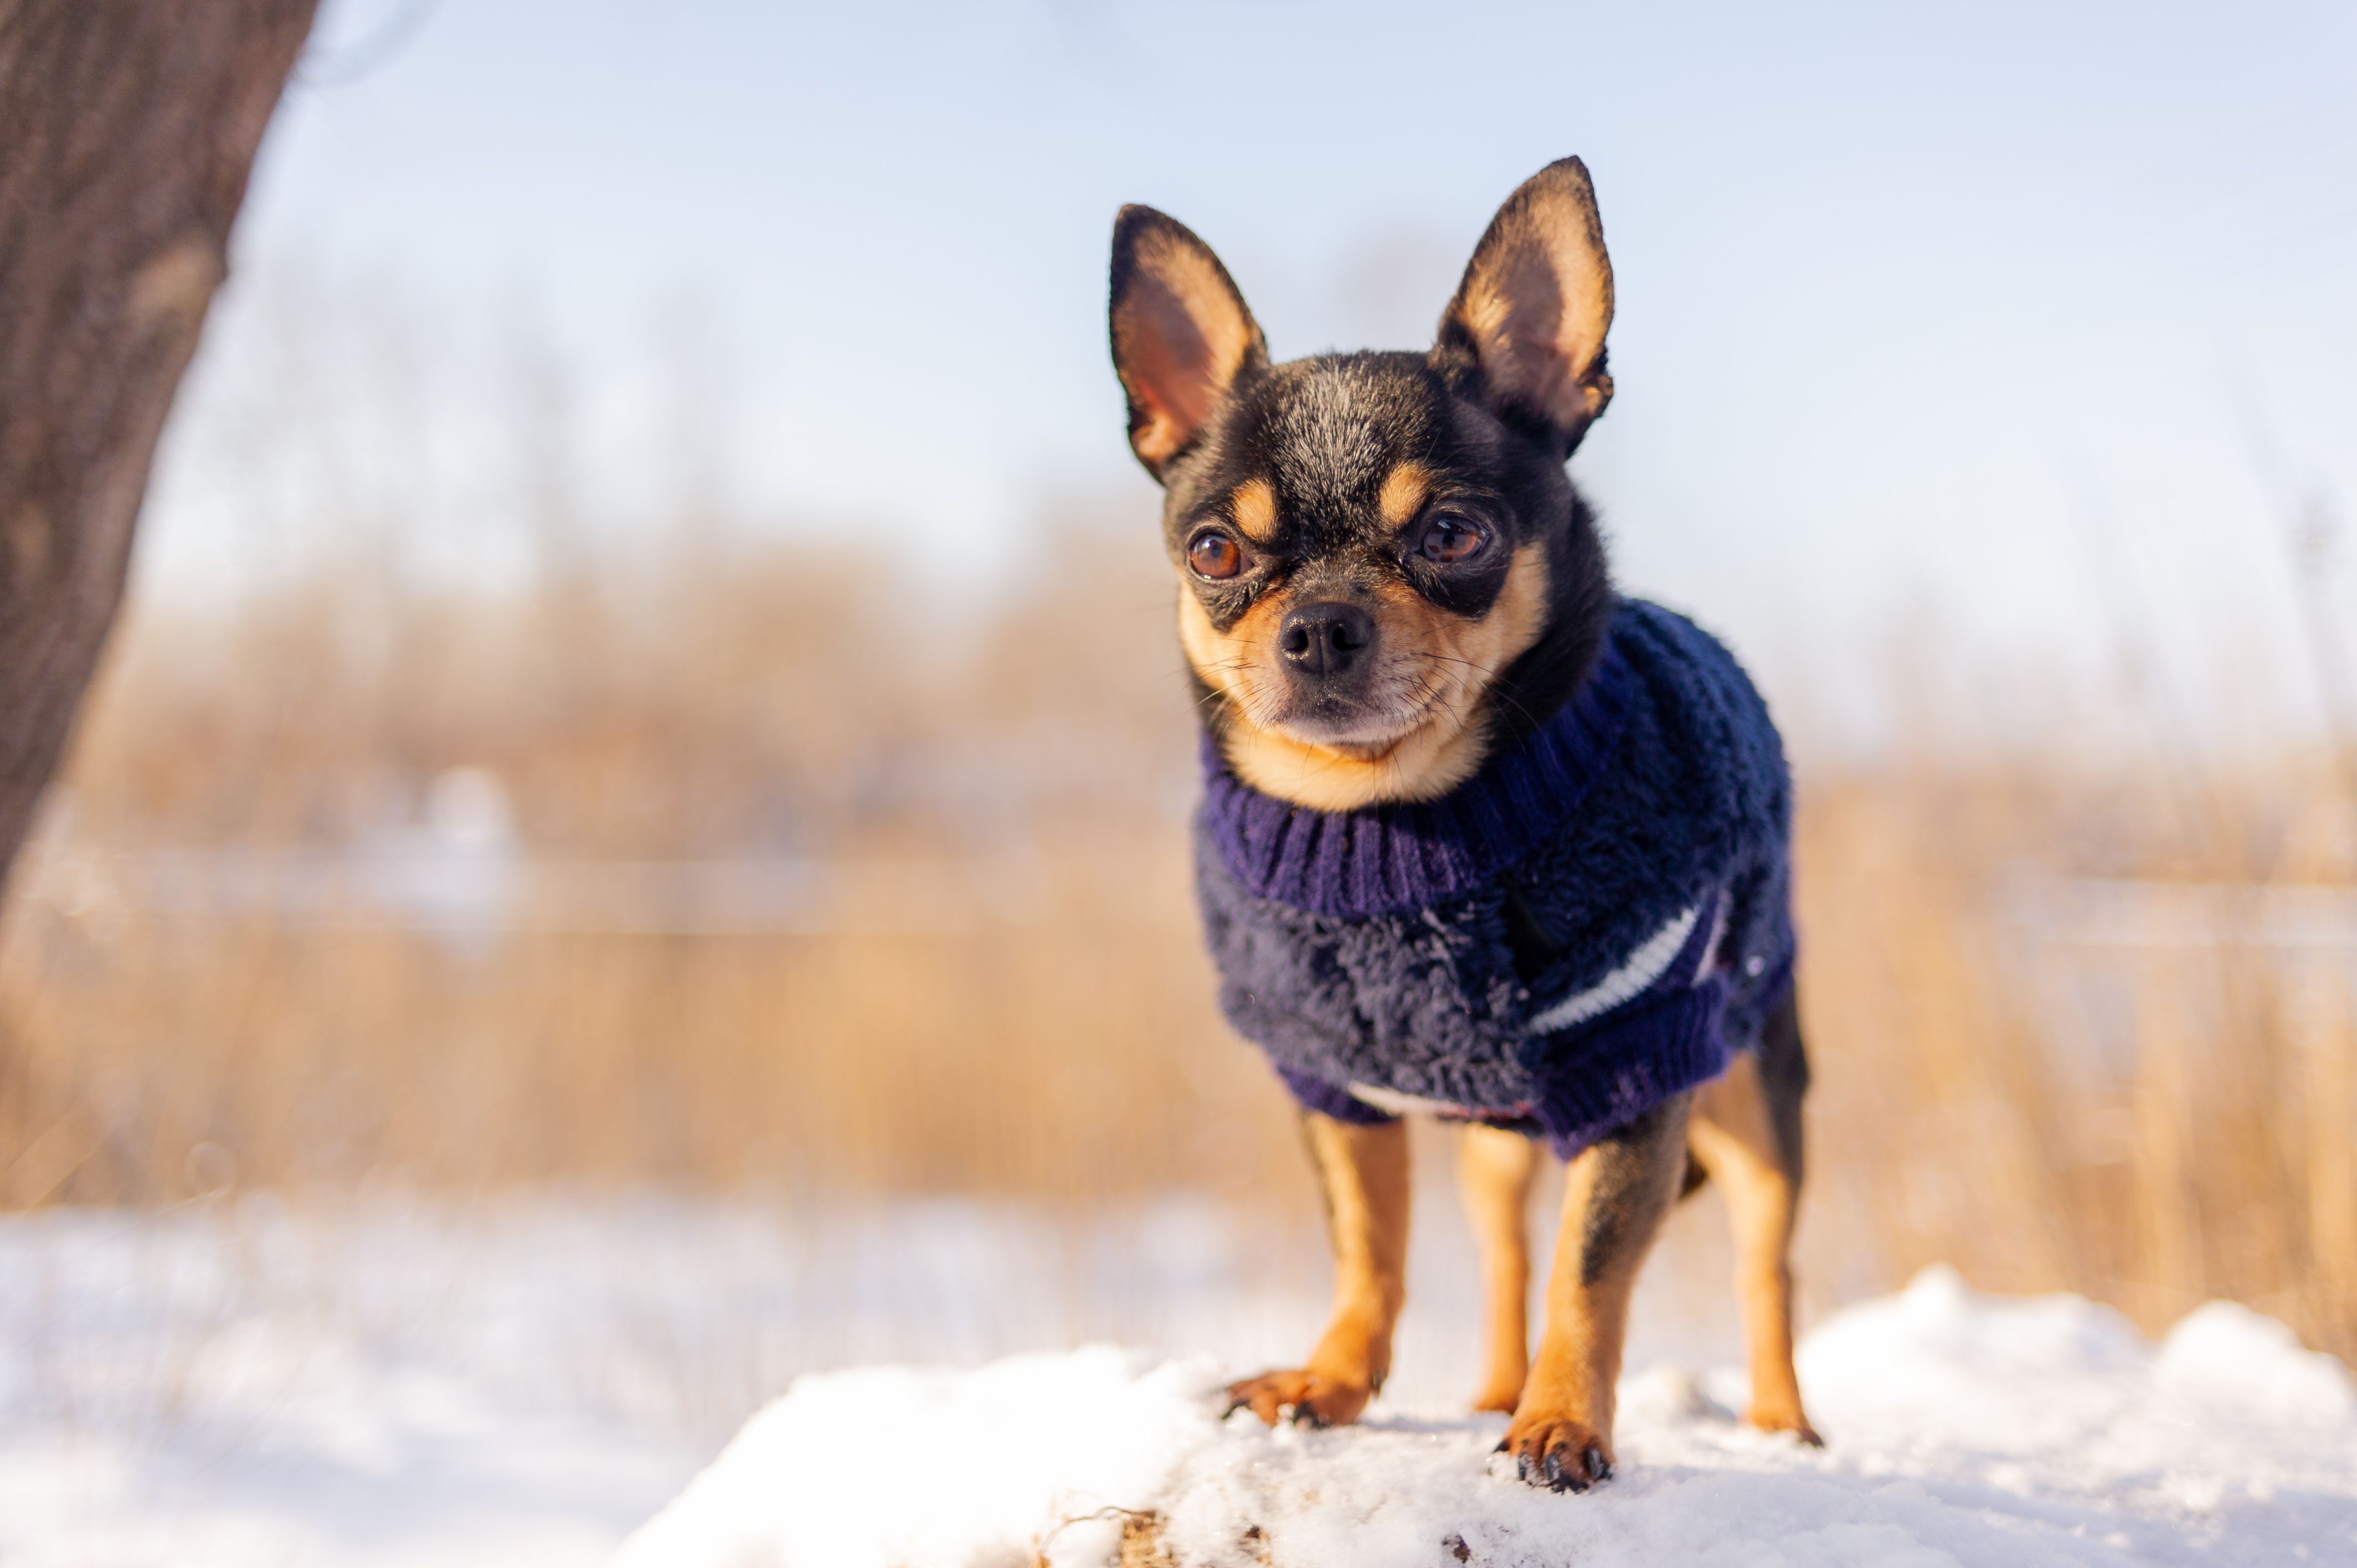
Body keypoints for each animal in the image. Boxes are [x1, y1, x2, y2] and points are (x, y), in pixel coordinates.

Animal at [1103, 161, 1819, 1490]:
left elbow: (1591, 1275)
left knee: (1764, 1260)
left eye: (1452, 534)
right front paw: (1329, 1381)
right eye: (1214, 551)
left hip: (1754, 1095)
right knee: (1500, 1246)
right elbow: (1370, 1250)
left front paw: (1564, 1425)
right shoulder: (1334, 1087)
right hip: (1496, 1138)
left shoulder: (1640, 1073)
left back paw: (1781, 1422)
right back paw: (1493, 1384)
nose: (1319, 624)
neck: (1394, 822)